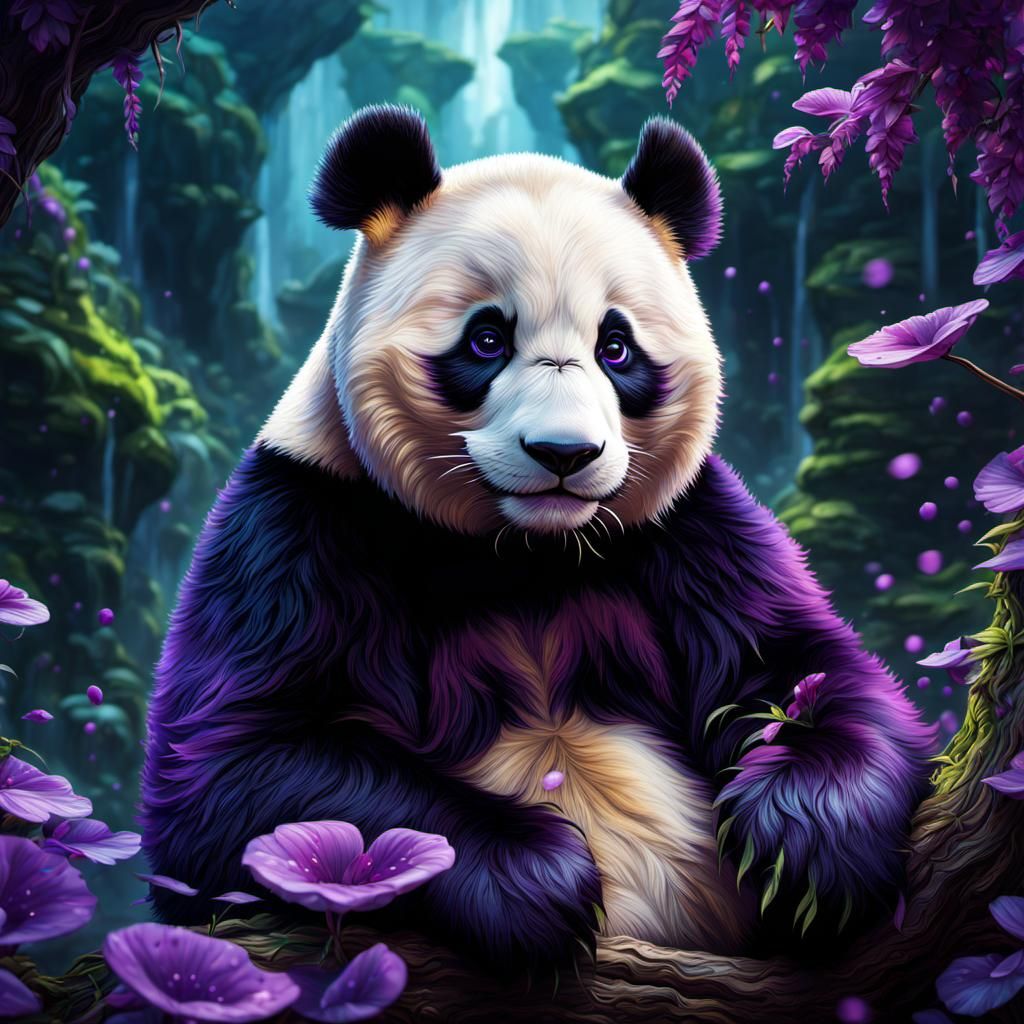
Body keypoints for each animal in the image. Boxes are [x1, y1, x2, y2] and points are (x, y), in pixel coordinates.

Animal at [140, 104, 934, 968]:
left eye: (615, 347)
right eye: (486, 339)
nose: (564, 453)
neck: (525, 553)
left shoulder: (693, 531)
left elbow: (803, 666)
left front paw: (806, 840)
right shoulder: (298, 526)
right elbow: (233, 767)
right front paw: (534, 878)